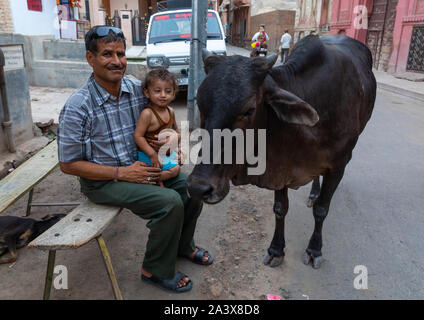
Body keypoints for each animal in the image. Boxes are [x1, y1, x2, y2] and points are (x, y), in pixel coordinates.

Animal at [187, 35, 376, 268]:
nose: (198, 188)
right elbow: (280, 208)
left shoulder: (338, 165)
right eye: (200, 104)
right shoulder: (281, 166)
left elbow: (322, 209)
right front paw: (276, 249)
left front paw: (314, 249)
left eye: (249, 109)